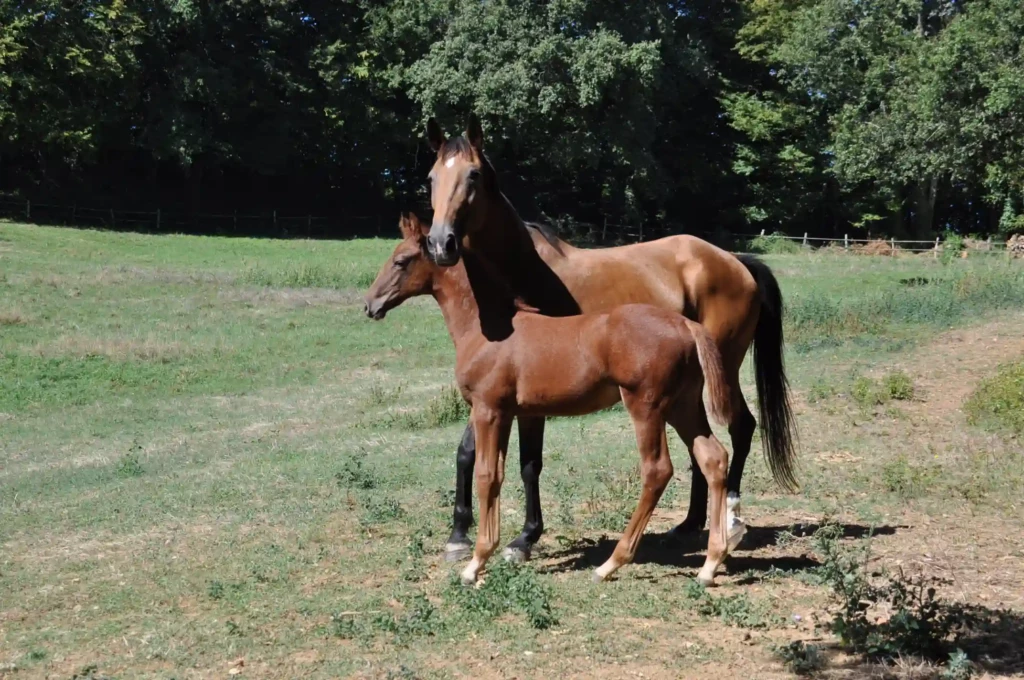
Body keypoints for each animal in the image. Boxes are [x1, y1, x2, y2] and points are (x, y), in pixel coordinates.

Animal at [364, 213, 741, 586]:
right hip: (683, 405)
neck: (489, 329)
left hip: (646, 406)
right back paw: (710, 564)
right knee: (713, 457)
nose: (370, 304)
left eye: (400, 261)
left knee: (657, 470)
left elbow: (485, 476)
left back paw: (611, 563)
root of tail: (687, 325)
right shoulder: (508, 413)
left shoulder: (487, 409)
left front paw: (474, 564)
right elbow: (499, 474)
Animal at [422, 114, 798, 564]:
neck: (522, 272)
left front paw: (523, 539)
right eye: (430, 178)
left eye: (473, 174)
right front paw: (458, 536)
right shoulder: (496, 393)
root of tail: (734, 261)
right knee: (704, 445)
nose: (440, 244)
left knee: (740, 426)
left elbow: (530, 462)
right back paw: (690, 523)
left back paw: (731, 521)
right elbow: (466, 452)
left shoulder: (523, 393)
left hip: (722, 367)